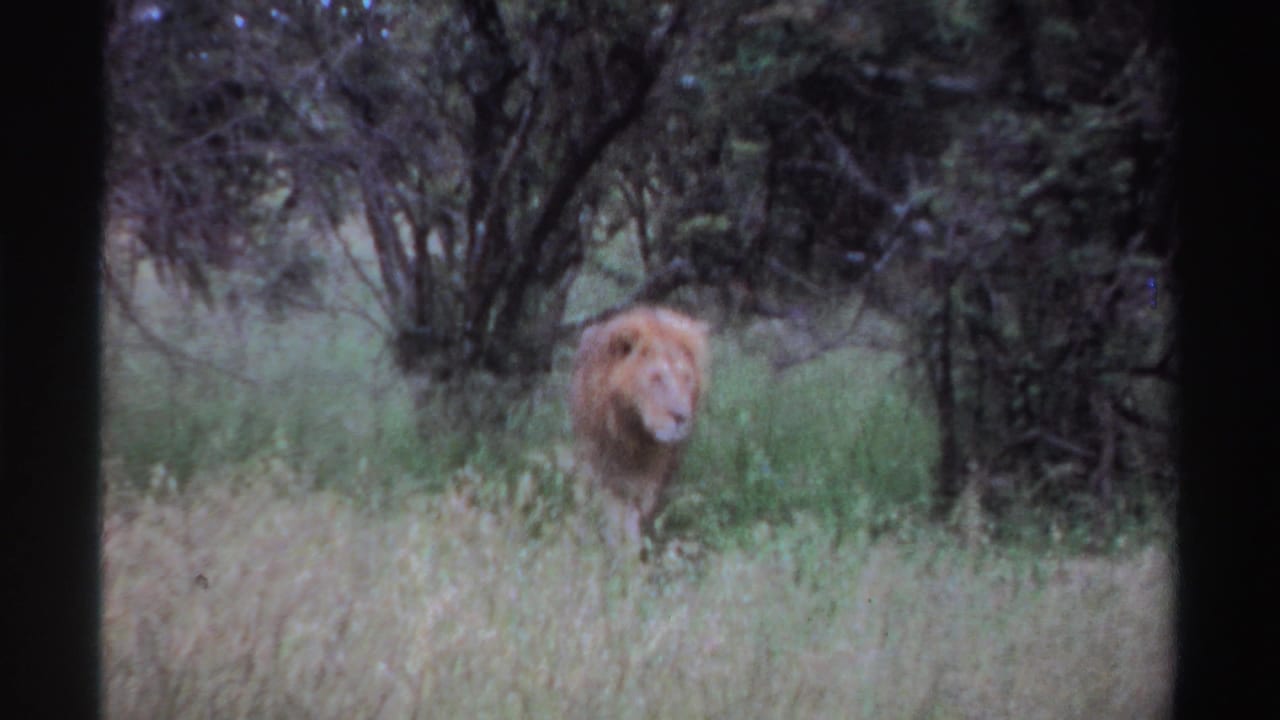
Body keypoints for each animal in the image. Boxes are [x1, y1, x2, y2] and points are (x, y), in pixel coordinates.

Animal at [569, 306, 710, 555]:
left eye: (686, 378)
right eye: (656, 378)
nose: (681, 417)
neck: (635, 432)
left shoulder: (649, 480)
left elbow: (633, 520)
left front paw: (631, 555)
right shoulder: (603, 470)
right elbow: (611, 514)